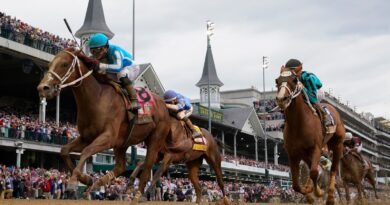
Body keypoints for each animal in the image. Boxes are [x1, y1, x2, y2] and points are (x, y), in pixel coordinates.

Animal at [36, 48, 171, 194]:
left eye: (64, 64)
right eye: (49, 65)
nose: (43, 88)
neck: (97, 99)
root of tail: (164, 105)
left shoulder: (108, 137)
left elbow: (87, 151)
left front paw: (73, 182)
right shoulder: (86, 137)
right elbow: (64, 150)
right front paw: (86, 179)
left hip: (154, 140)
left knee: (146, 170)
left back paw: (138, 194)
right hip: (122, 143)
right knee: (121, 166)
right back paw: (97, 184)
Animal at [274, 66, 344, 204]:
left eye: (294, 80)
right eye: (277, 81)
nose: (281, 99)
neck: (298, 124)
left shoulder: (316, 148)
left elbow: (314, 172)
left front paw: (317, 192)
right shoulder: (293, 154)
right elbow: (296, 185)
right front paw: (308, 193)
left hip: (337, 144)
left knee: (333, 169)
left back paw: (330, 196)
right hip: (306, 154)